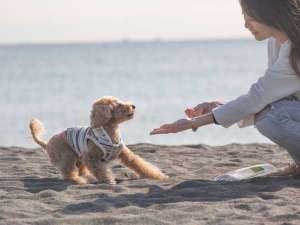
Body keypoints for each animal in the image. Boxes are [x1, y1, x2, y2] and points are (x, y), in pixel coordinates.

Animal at [29, 96, 168, 184]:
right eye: (118, 105)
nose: (133, 106)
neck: (110, 133)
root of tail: (47, 143)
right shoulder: (90, 156)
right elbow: (99, 170)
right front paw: (108, 180)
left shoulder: (126, 155)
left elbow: (141, 165)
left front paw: (159, 176)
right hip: (67, 155)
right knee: (69, 173)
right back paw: (79, 180)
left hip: (78, 157)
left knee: (80, 170)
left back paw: (86, 177)